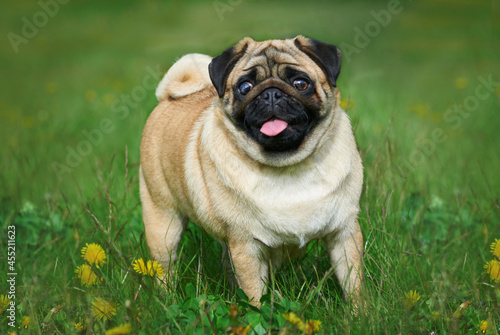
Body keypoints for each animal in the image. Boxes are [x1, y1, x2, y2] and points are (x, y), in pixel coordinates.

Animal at [141, 35, 364, 306]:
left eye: (301, 83)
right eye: (245, 87)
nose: (271, 94)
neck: (288, 166)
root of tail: (167, 98)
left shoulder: (345, 233)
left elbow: (353, 285)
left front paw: (361, 314)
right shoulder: (247, 246)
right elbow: (255, 298)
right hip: (163, 222)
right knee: (165, 267)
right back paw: (167, 300)